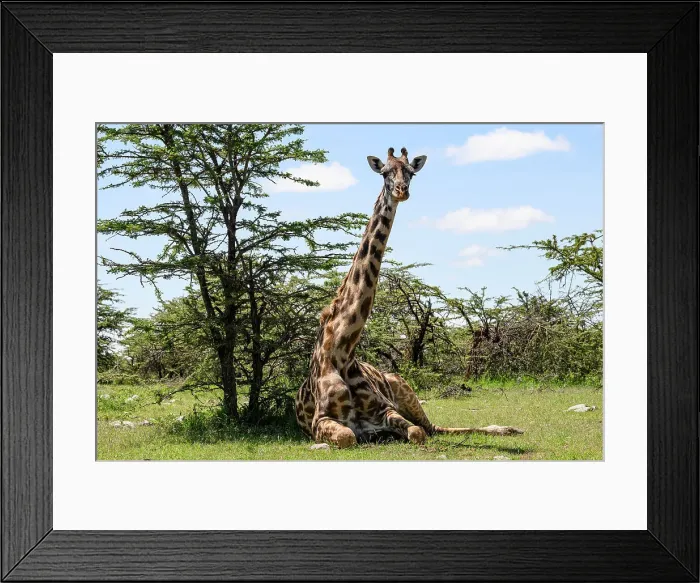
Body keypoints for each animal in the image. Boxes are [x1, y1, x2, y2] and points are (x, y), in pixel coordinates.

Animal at [295, 147, 524, 448]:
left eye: (411, 172)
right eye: (384, 173)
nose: (401, 191)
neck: (341, 350)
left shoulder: (386, 409)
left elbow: (416, 432)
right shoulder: (320, 420)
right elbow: (348, 436)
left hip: (403, 387)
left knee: (432, 427)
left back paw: (509, 429)